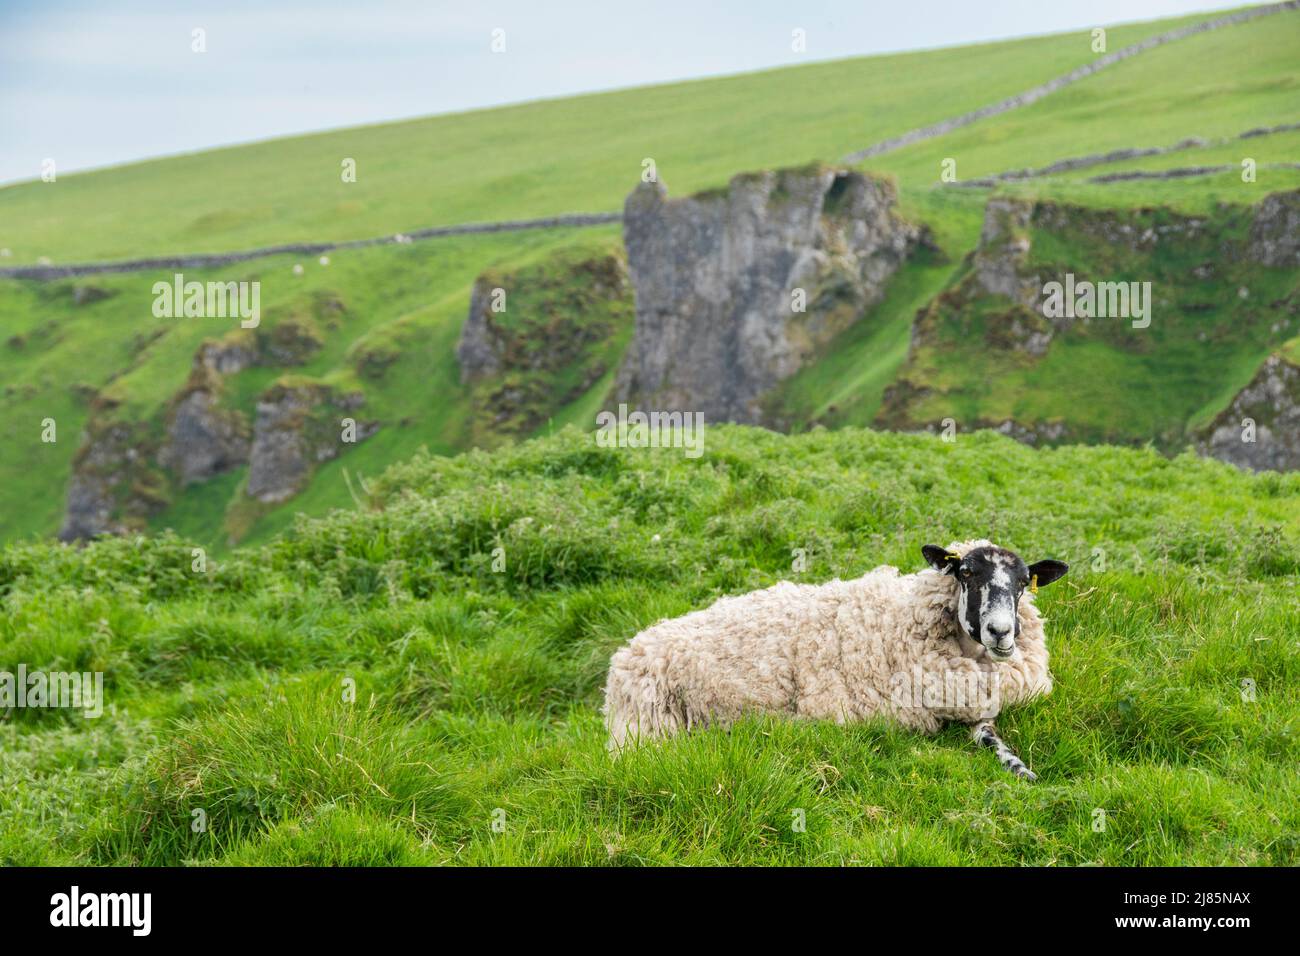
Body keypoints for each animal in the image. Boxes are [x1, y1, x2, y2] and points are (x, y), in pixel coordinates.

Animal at [603, 538, 1071, 780]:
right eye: (966, 574)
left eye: (1022, 583)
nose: (1002, 632)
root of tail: (628, 651)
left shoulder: (979, 705)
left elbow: (993, 738)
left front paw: (1021, 769)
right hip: (647, 731)